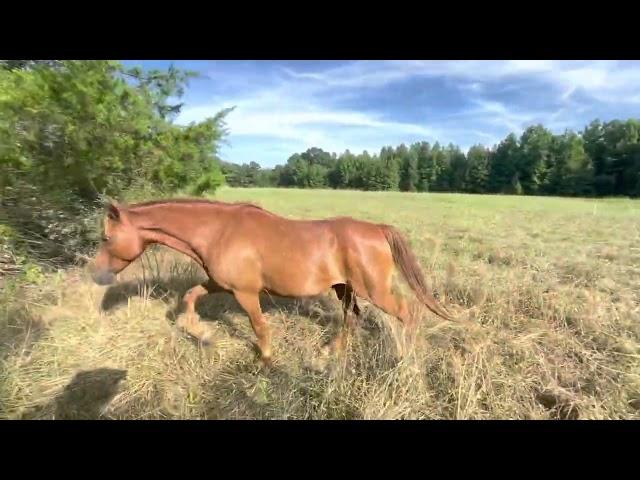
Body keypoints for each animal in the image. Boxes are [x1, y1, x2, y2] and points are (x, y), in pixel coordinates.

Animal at [90, 198, 452, 364]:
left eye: (106, 238)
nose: (96, 275)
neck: (219, 230)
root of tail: (377, 229)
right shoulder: (220, 284)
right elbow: (191, 296)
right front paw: (201, 334)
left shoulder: (246, 293)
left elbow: (259, 325)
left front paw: (265, 358)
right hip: (345, 289)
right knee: (352, 319)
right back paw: (329, 352)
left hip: (373, 290)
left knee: (407, 313)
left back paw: (405, 356)